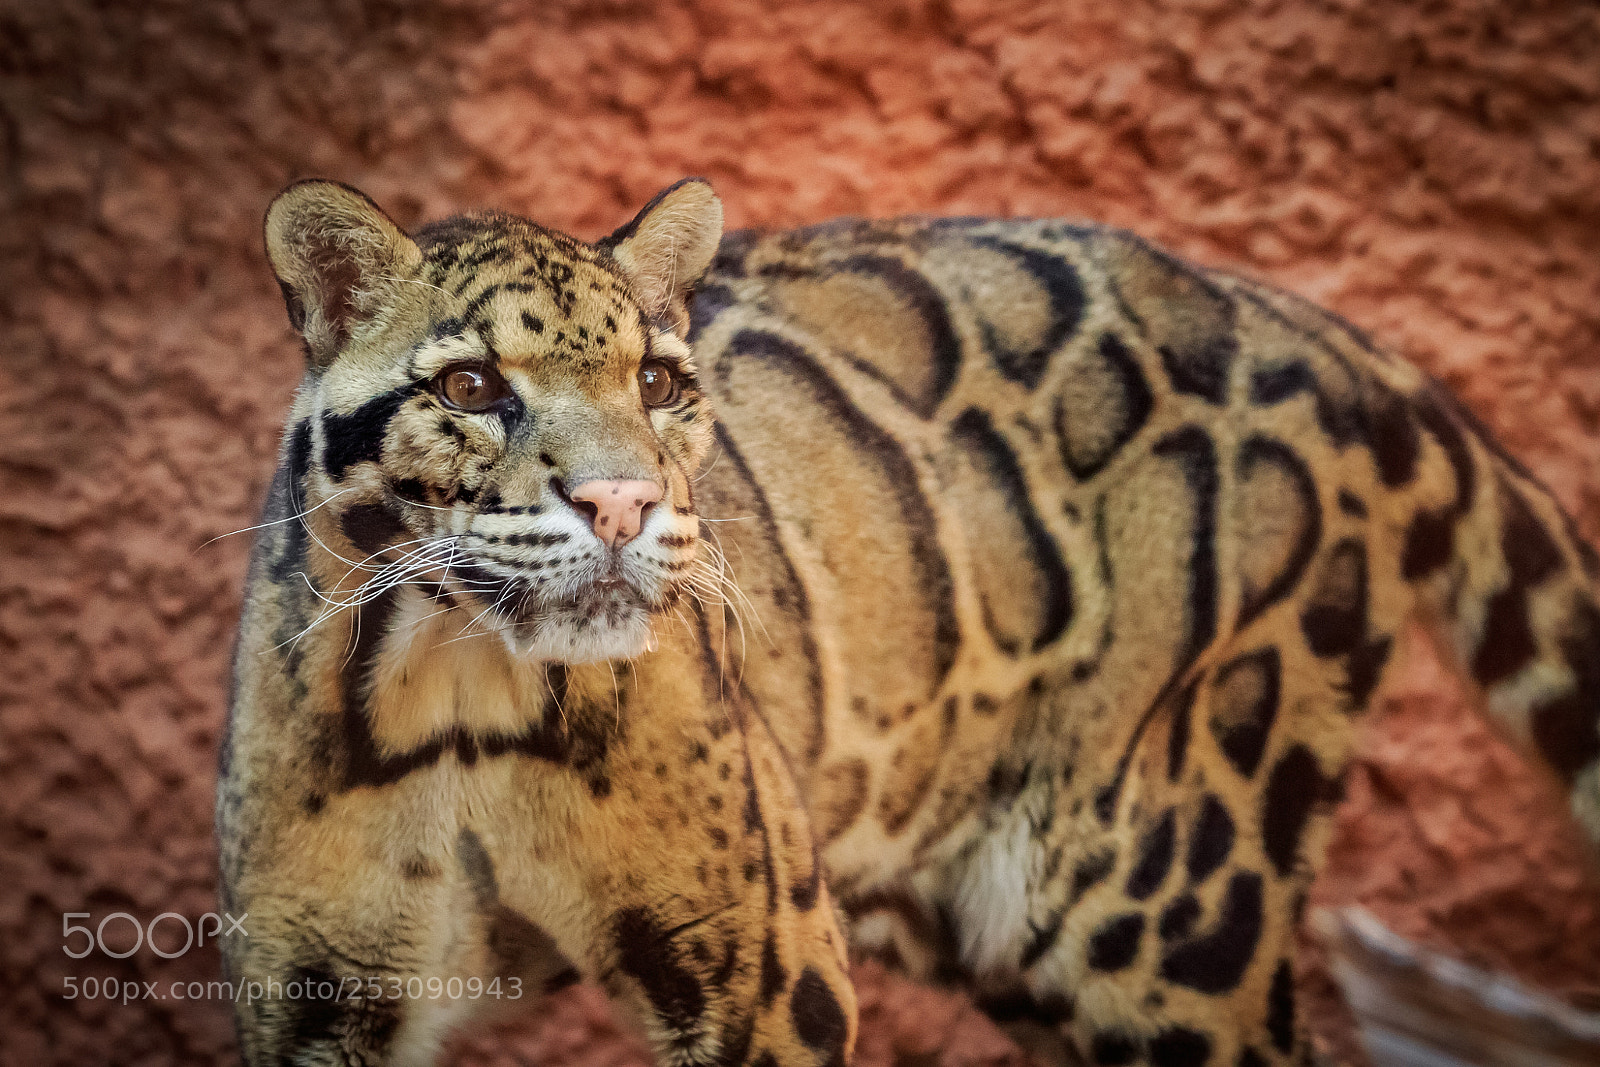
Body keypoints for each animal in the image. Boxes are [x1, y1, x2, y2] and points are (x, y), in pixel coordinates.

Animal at [218, 176, 1600, 1067]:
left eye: (658, 382)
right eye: (469, 385)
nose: (621, 500)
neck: (465, 689)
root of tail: (1317, 325)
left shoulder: (763, 971)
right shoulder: (315, 993)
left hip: (1174, 903)